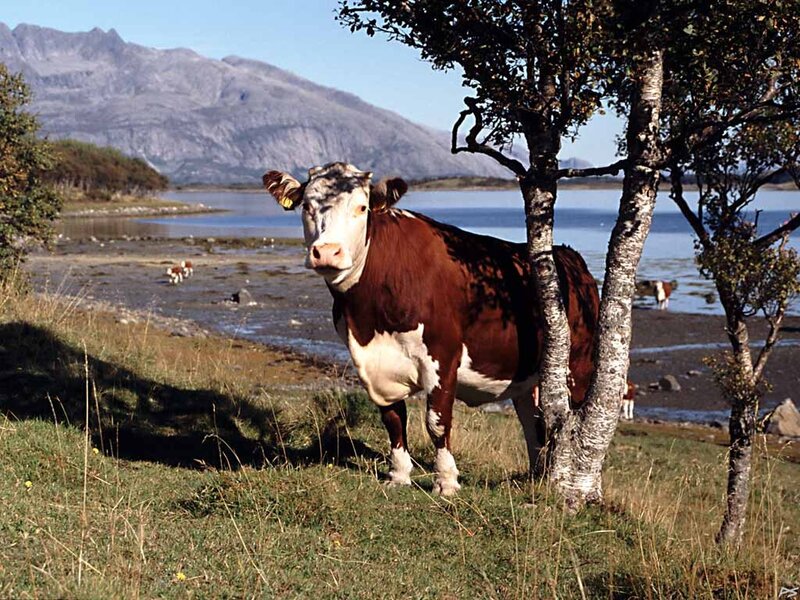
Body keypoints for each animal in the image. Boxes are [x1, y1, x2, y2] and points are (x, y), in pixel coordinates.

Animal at [263, 163, 600, 495]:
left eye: (361, 207)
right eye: (307, 206)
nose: (327, 252)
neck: (370, 319)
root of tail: (569, 257)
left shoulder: (443, 354)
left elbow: (436, 421)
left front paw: (446, 481)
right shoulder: (372, 364)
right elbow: (393, 418)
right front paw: (398, 475)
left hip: (579, 364)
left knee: (575, 422)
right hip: (525, 376)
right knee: (532, 422)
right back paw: (536, 477)